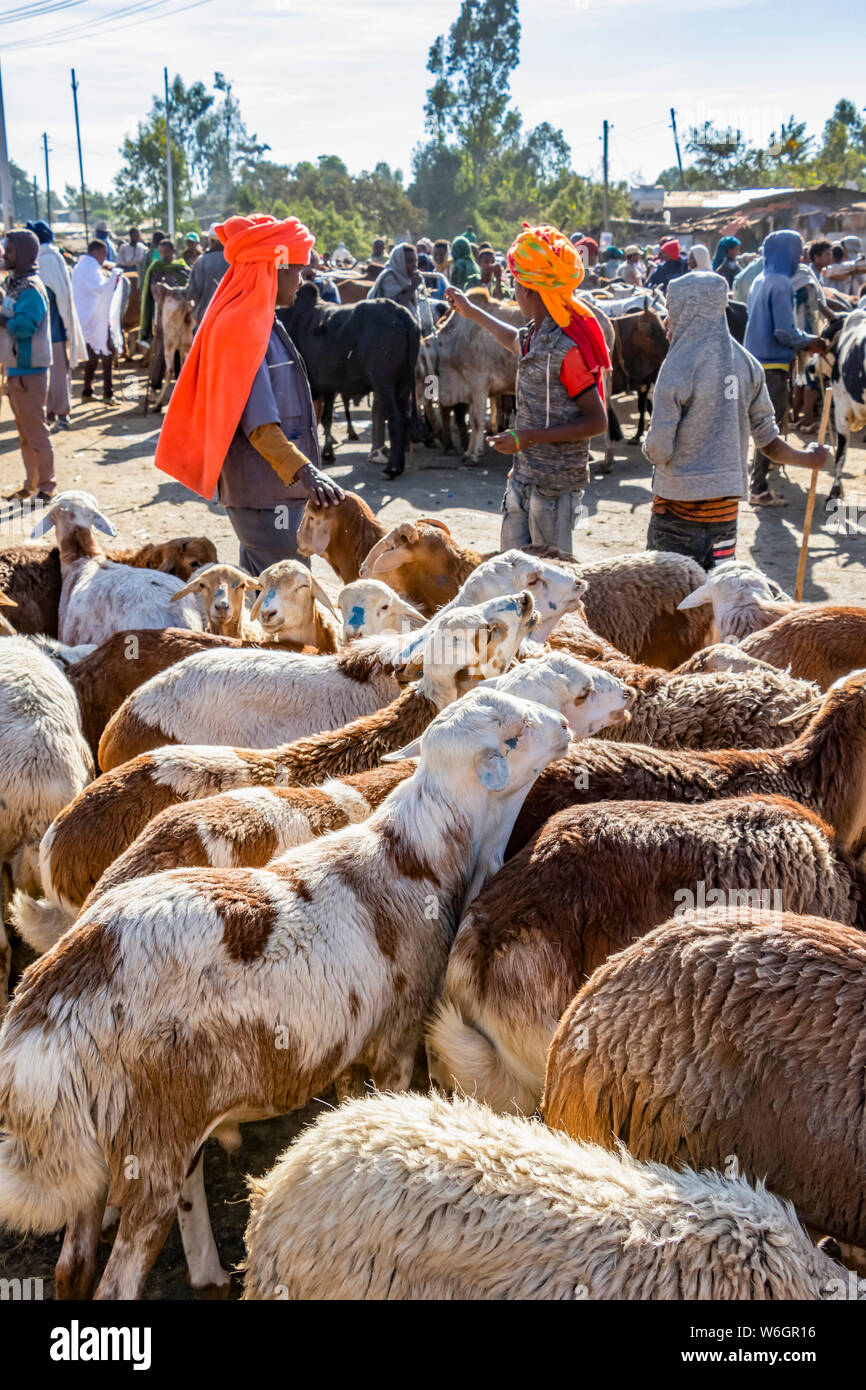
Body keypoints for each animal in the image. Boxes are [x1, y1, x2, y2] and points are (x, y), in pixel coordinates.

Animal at [0, 687, 571, 1299]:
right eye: (514, 735)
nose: (563, 725)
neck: (418, 855)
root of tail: (55, 994)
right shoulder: (395, 1038)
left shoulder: (350, 1042)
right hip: (154, 1133)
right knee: (121, 1273)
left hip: (88, 1138)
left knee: (73, 1265)